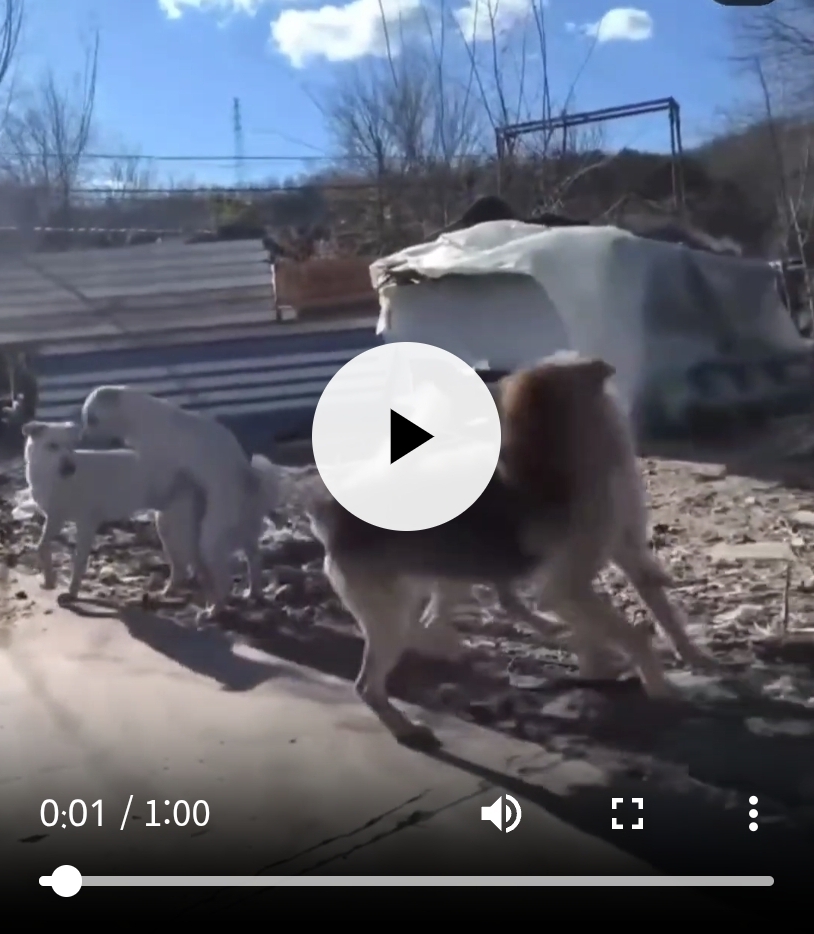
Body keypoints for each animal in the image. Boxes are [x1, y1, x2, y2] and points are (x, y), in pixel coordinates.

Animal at [22, 420, 203, 601]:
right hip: (167, 528)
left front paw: (72, 592)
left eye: (71, 446)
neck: (53, 479)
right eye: (52, 446)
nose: (71, 468)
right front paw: (49, 580)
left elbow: (79, 559)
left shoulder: (86, 523)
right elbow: (41, 546)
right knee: (181, 567)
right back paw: (168, 591)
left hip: (178, 530)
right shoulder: (55, 519)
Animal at [80, 387, 281, 618]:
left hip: (212, 535)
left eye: (91, 419)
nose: (82, 437)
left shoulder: (154, 461)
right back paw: (252, 592)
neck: (140, 415)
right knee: (254, 559)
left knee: (224, 580)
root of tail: (249, 480)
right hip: (243, 530)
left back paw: (214, 610)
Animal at [305, 352, 717, 749]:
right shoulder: (566, 588)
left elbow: (662, 612)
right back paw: (407, 727)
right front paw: (659, 686)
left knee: (430, 624)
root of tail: (329, 512)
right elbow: (631, 635)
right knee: (371, 680)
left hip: (443, 581)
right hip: (391, 614)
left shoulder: (626, 557)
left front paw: (687, 656)